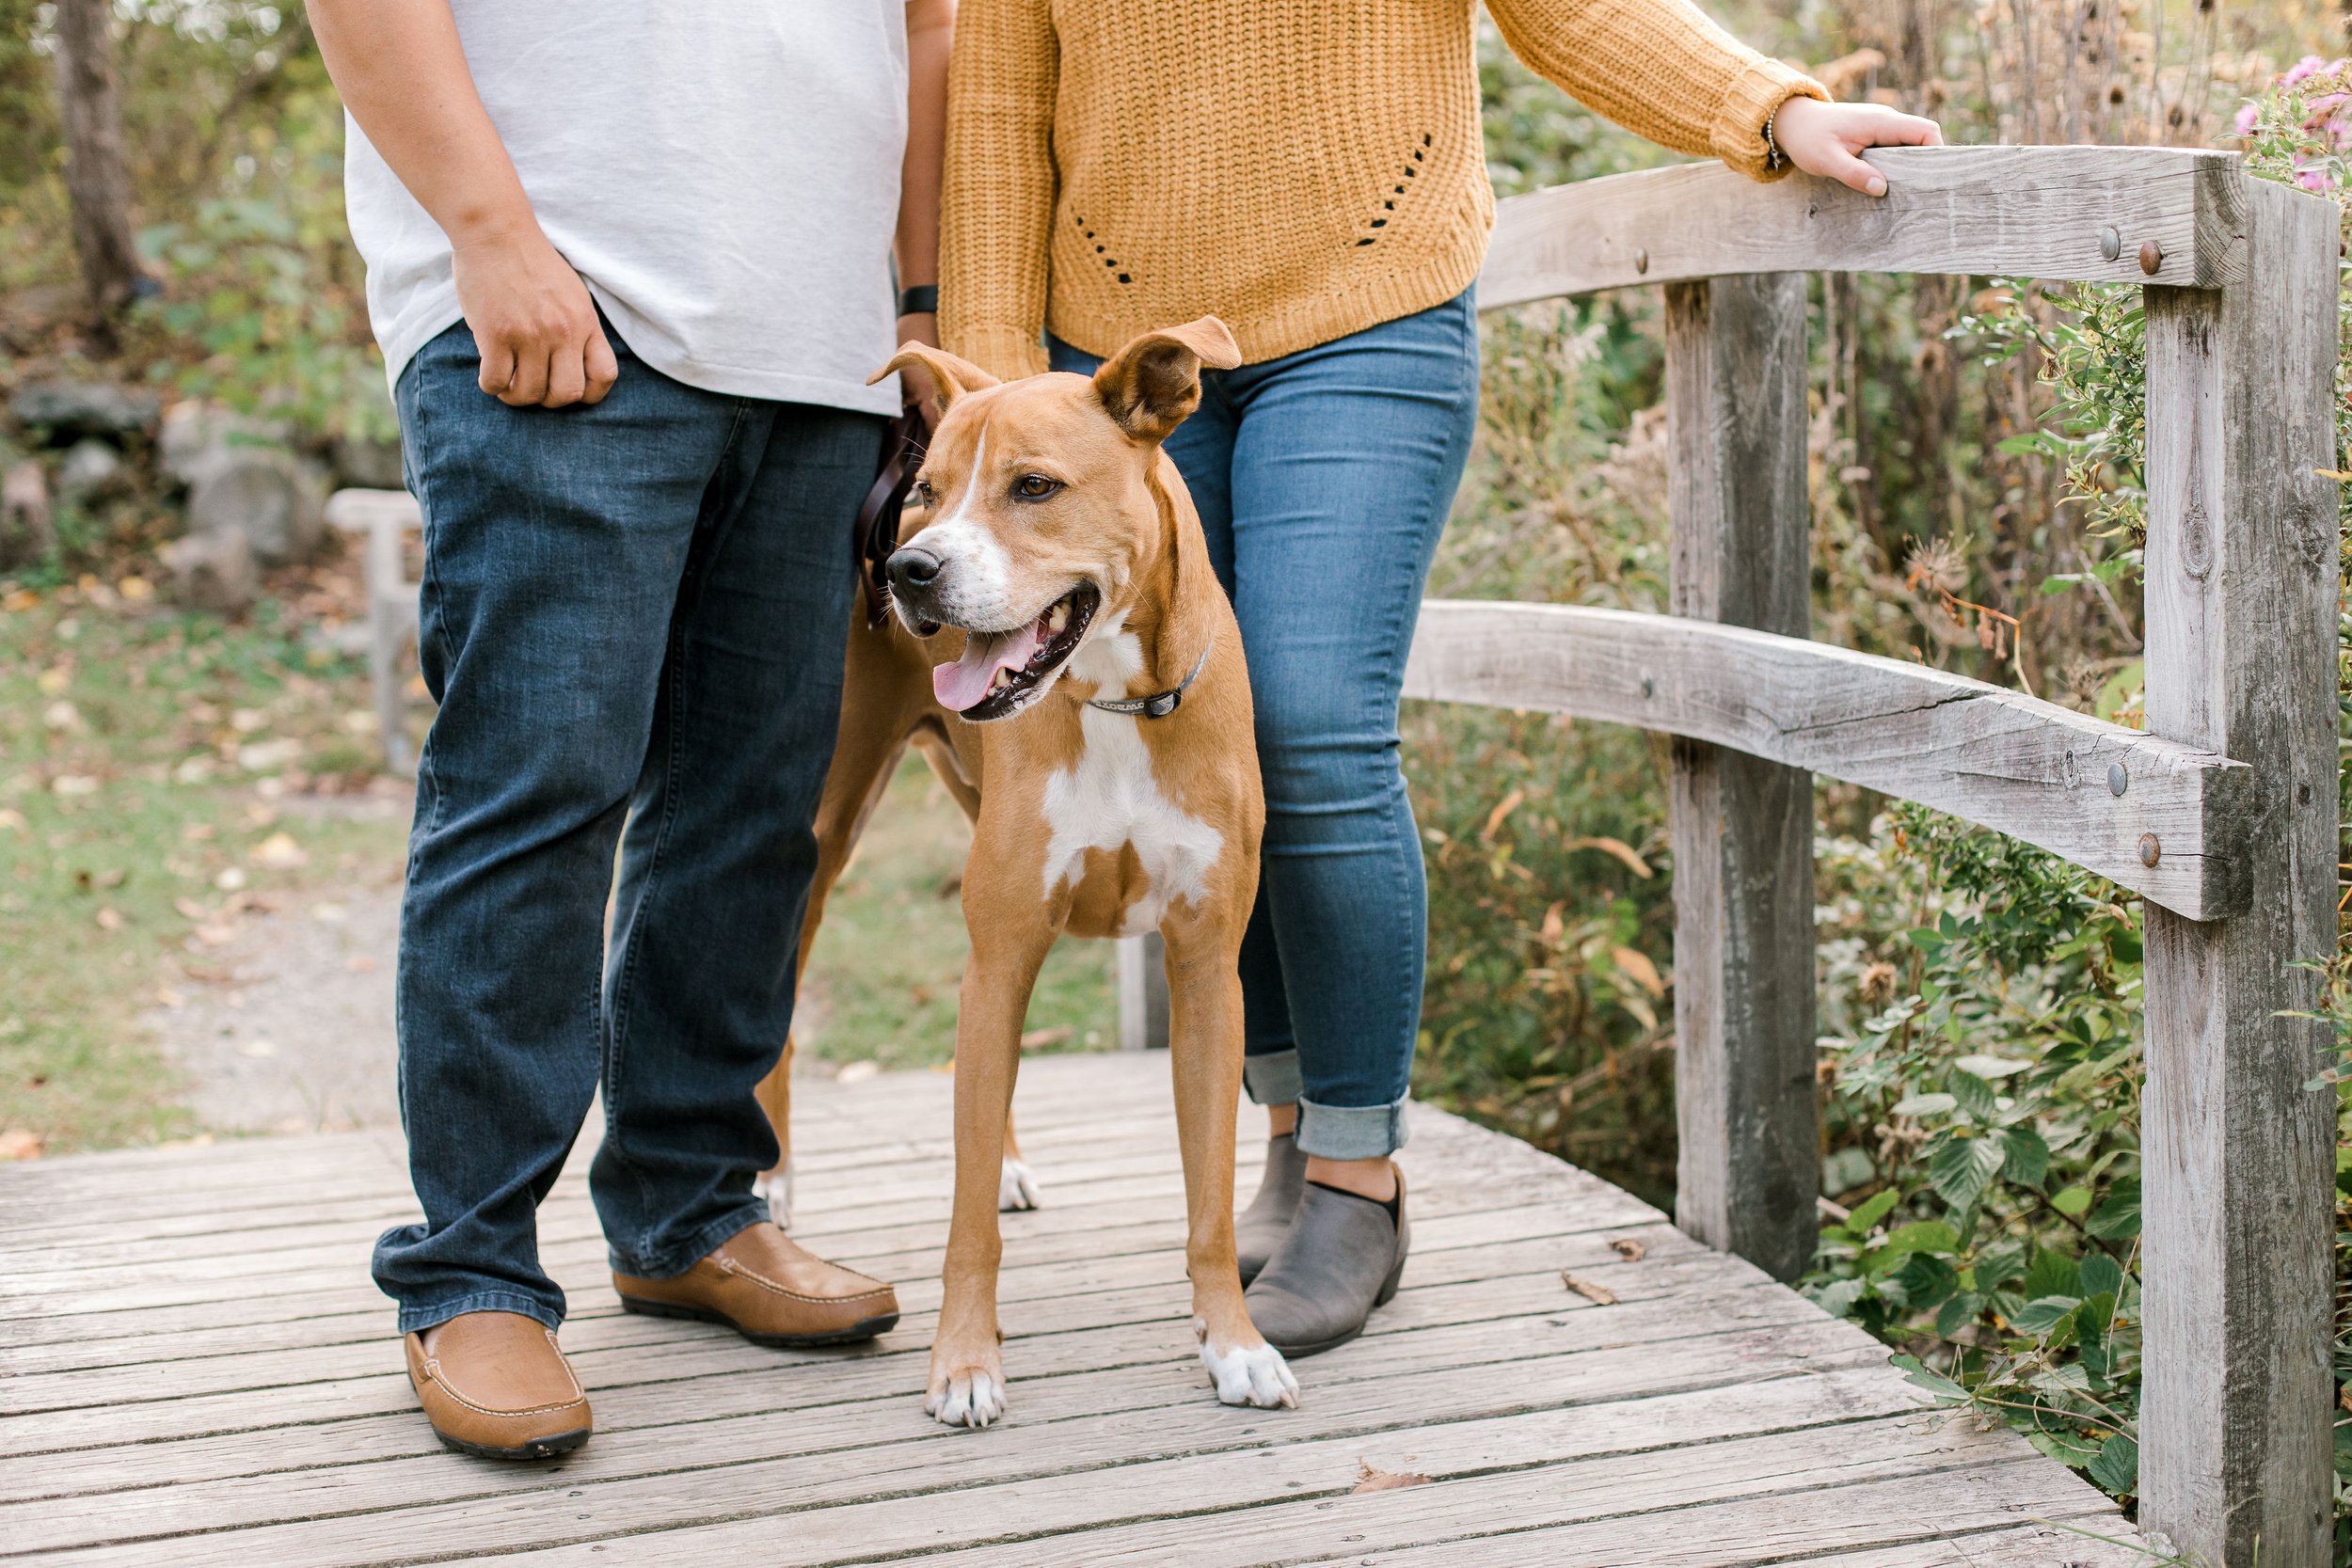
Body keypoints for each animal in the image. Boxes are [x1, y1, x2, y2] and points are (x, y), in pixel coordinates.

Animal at [753, 314, 1298, 1419]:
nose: (910, 569)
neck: (1116, 699)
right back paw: (776, 1184)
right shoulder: (1002, 949)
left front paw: (1234, 1344)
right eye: (928, 491)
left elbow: (1211, 1197)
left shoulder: (1205, 970)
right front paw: (963, 1360)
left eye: (1034, 486)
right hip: (825, 843)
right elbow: (964, 1222)